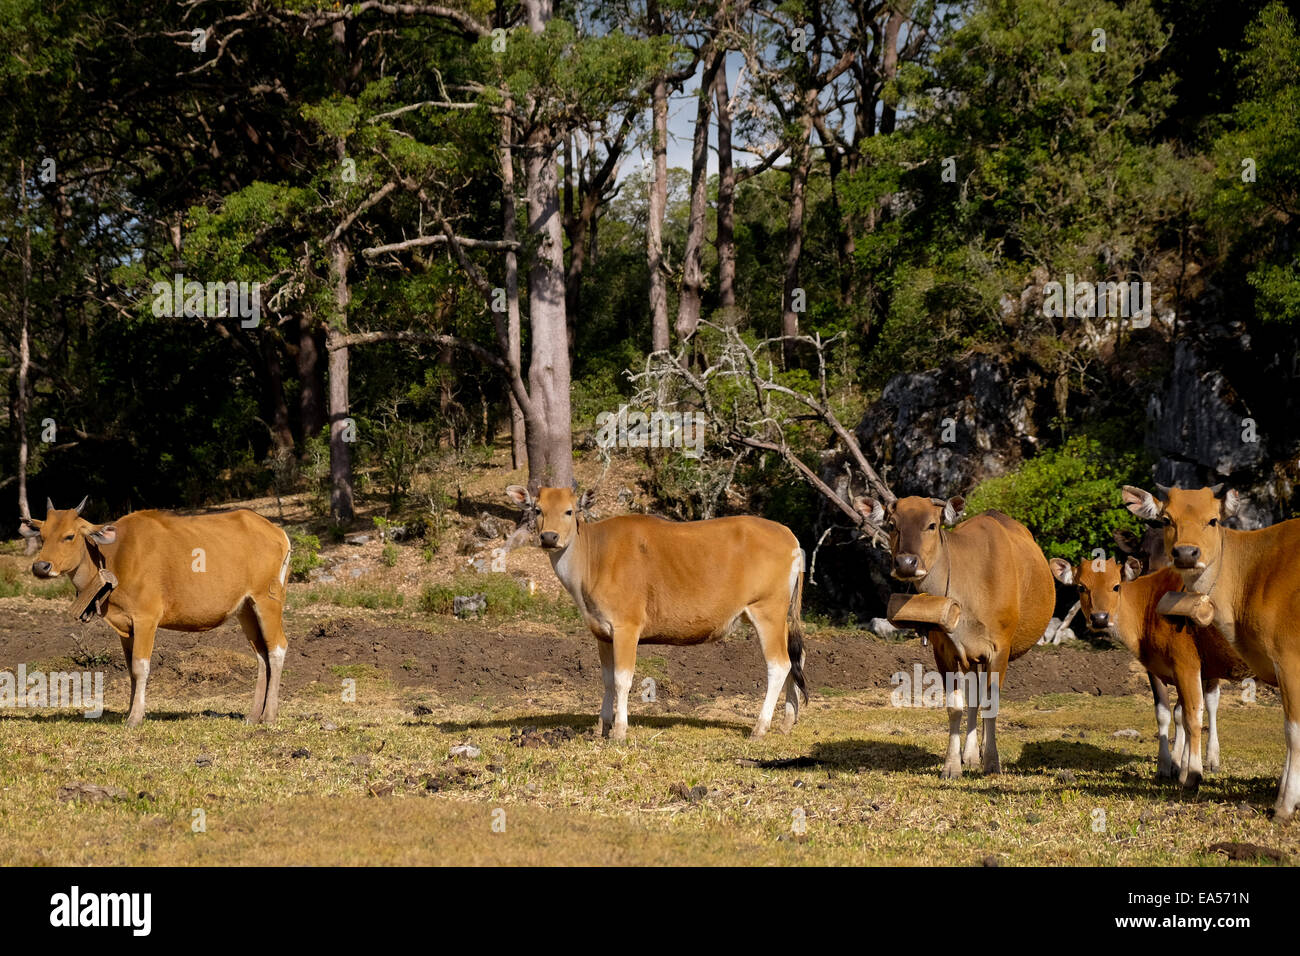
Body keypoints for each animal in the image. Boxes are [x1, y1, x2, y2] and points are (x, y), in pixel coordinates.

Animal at [20, 502, 289, 723]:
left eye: (69, 536)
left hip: (267, 600)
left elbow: (141, 667)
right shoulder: (125, 626)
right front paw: (130, 711)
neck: (114, 556)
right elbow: (130, 670)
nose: (41, 567)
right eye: (43, 536)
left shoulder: (146, 619)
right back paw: (254, 715)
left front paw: (135, 717)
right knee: (262, 654)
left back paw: (269, 716)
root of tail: (276, 532)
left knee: (277, 648)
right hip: (246, 609)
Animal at [504, 486, 800, 738]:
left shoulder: (626, 627)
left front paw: (620, 730)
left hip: (767, 610)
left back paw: (760, 727)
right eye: (538, 509)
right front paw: (602, 725)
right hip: (782, 616)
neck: (594, 558)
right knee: (795, 658)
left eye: (569, 510)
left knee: (779, 665)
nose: (549, 537)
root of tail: (789, 535)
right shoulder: (602, 633)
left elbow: (622, 680)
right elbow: (607, 680)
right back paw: (787, 722)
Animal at [1045, 556, 1248, 790]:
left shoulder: (1187, 664)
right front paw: (1167, 766)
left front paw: (1188, 771)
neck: (1150, 606)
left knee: (1212, 703)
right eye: (1081, 587)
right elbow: (1166, 714)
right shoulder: (1157, 668)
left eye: (1116, 586)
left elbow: (1191, 714)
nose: (1100, 618)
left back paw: (1212, 758)